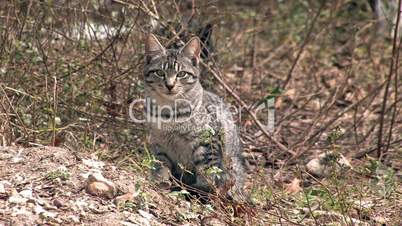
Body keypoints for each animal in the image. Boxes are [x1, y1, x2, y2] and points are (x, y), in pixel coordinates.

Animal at [144, 33, 245, 198]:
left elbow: (207, 172)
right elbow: (161, 164)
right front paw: (160, 180)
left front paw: (201, 189)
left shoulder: (208, 142)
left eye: (181, 74)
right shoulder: (158, 142)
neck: (168, 111)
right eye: (160, 72)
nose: (170, 85)